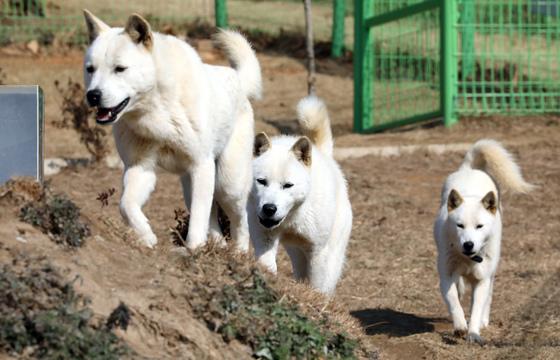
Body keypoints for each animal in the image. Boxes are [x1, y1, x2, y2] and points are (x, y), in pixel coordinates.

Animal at [82, 9, 262, 249]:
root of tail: (239, 79)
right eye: (90, 69)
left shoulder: (201, 165)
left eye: (120, 69)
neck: (156, 110)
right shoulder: (140, 167)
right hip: (191, 186)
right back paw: (217, 247)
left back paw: (239, 253)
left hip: (228, 185)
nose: (93, 96)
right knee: (213, 217)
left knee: (240, 221)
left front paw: (193, 248)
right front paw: (147, 236)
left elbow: (198, 221)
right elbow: (125, 205)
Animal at [250, 95, 352, 296]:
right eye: (261, 181)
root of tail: (323, 154)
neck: (292, 218)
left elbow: (317, 286)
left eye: (288, 185)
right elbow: (267, 264)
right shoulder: (264, 236)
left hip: (331, 257)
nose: (269, 209)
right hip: (297, 254)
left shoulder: (318, 252)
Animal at [434, 139, 532, 344]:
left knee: (489, 296)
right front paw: (460, 326)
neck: (468, 259)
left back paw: (484, 321)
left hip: (491, 271)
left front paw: (473, 332)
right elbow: (454, 301)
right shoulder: (446, 275)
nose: (468, 244)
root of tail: (470, 169)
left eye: (479, 226)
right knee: (460, 286)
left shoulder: (482, 280)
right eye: (460, 225)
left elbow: (477, 308)